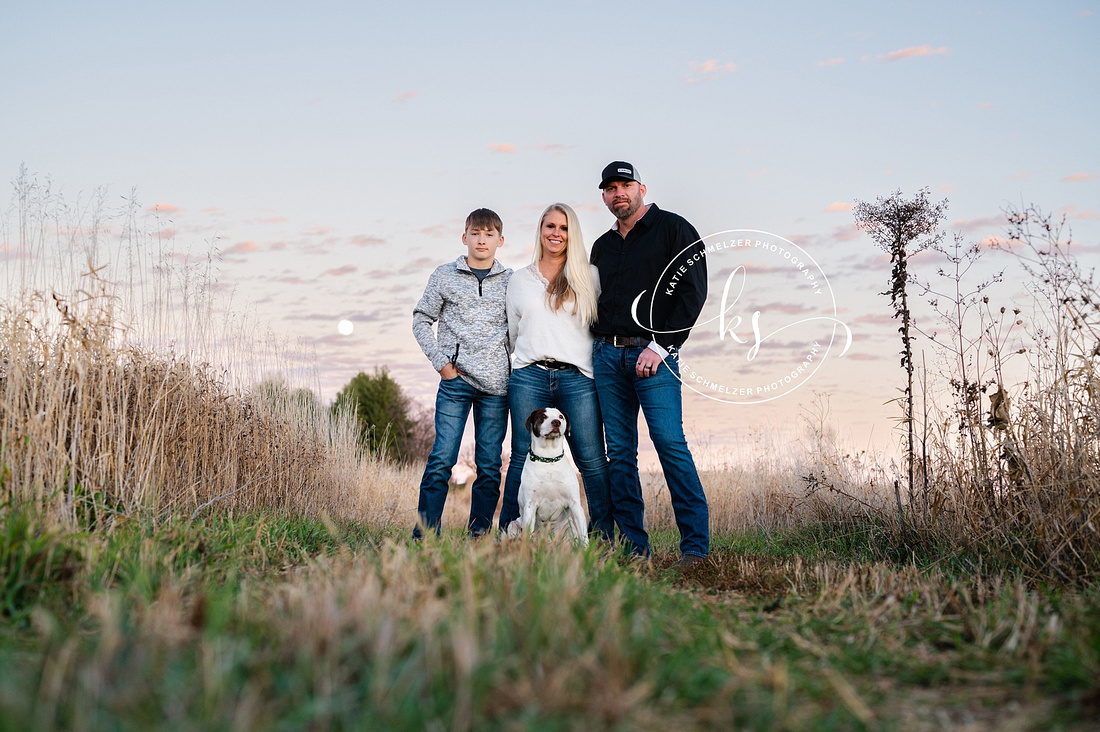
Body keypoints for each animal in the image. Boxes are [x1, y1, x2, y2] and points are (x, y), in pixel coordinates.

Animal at [510, 407, 589, 545]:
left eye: (561, 416)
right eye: (543, 416)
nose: (556, 422)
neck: (549, 459)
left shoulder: (575, 504)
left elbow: (584, 536)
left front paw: (585, 550)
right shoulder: (530, 505)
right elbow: (528, 533)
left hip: (569, 529)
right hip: (513, 525)